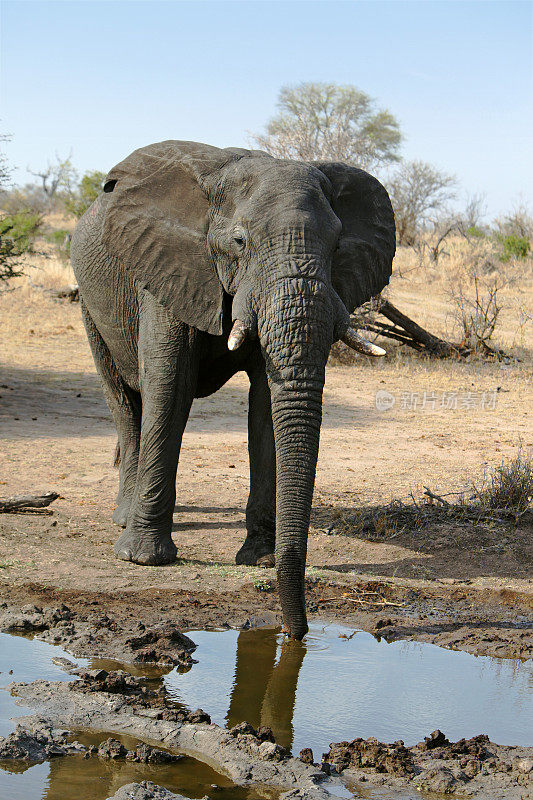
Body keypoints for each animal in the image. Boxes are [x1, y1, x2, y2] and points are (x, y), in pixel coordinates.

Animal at [70, 141, 394, 640]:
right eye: (240, 242)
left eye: (338, 245)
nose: (296, 634)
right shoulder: (167, 268)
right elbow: (169, 386)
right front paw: (144, 560)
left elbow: (266, 403)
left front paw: (258, 559)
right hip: (89, 301)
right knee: (124, 399)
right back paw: (123, 518)